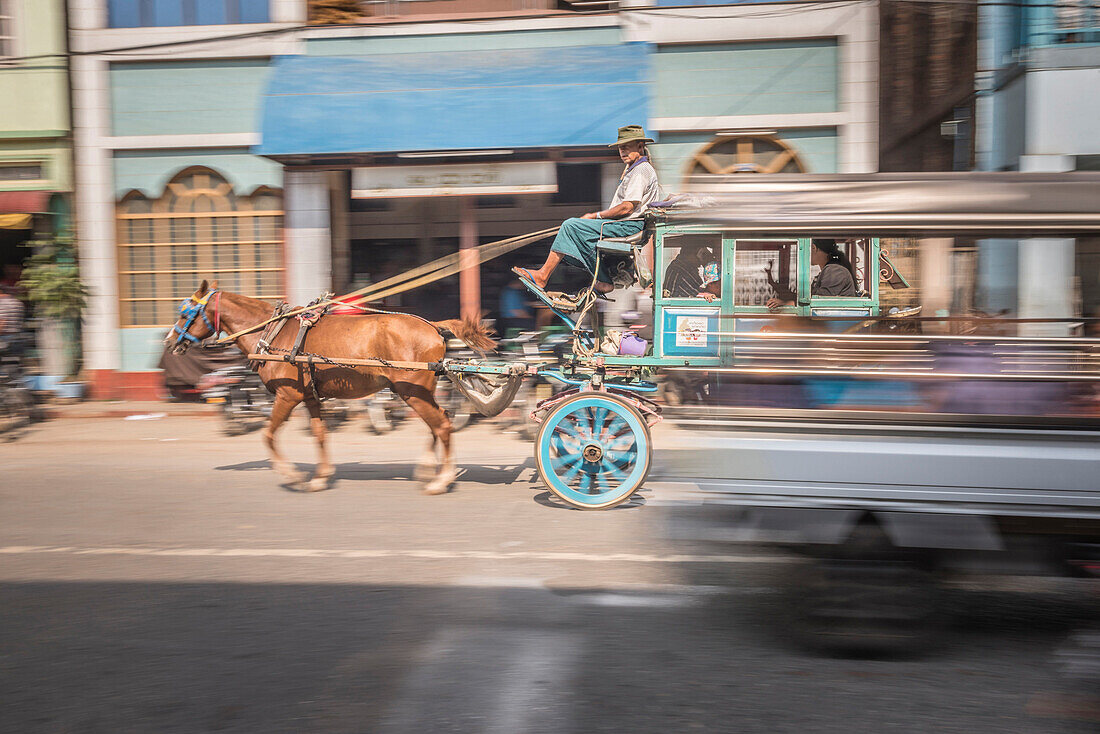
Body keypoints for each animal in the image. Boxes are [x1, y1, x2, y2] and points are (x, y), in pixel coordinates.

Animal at [166, 281, 495, 493]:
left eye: (185, 313)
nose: (169, 342)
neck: (274, 333)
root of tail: (432, 326)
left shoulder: (287, 395)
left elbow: (268, 435)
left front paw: (293, 476)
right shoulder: (309, 396)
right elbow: (320, 434)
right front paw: (320, 477)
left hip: (412, 390)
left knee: (441, 425)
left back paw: (441, 479)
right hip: (416, 392)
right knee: (440, 422)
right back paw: (429, 469)